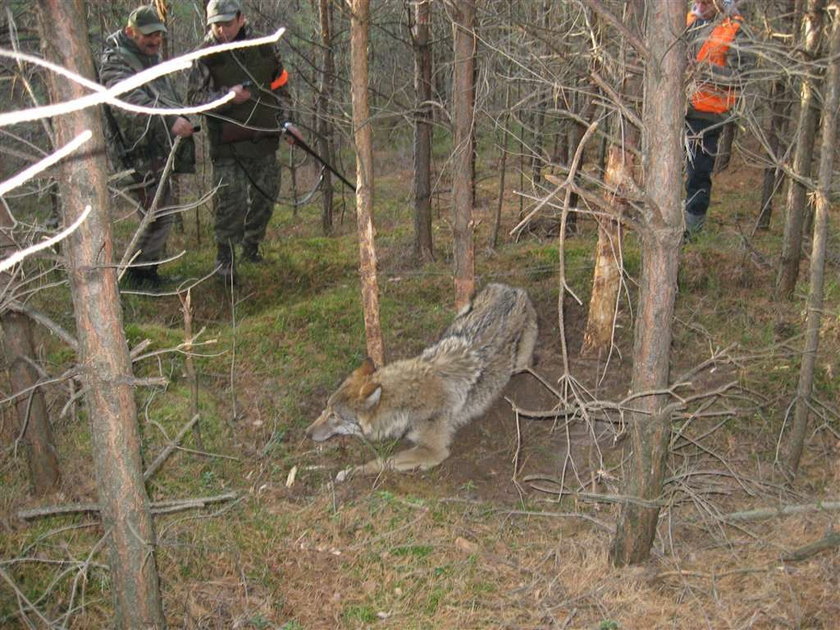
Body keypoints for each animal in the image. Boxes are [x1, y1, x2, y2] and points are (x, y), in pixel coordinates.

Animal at [306, 284, 536, 482]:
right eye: (326, 409)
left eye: (335, 416)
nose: (307, 433)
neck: (406, 400)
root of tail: (511, 289)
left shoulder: (433, 451)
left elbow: (382, 461)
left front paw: (349, 472)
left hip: (519, 365)